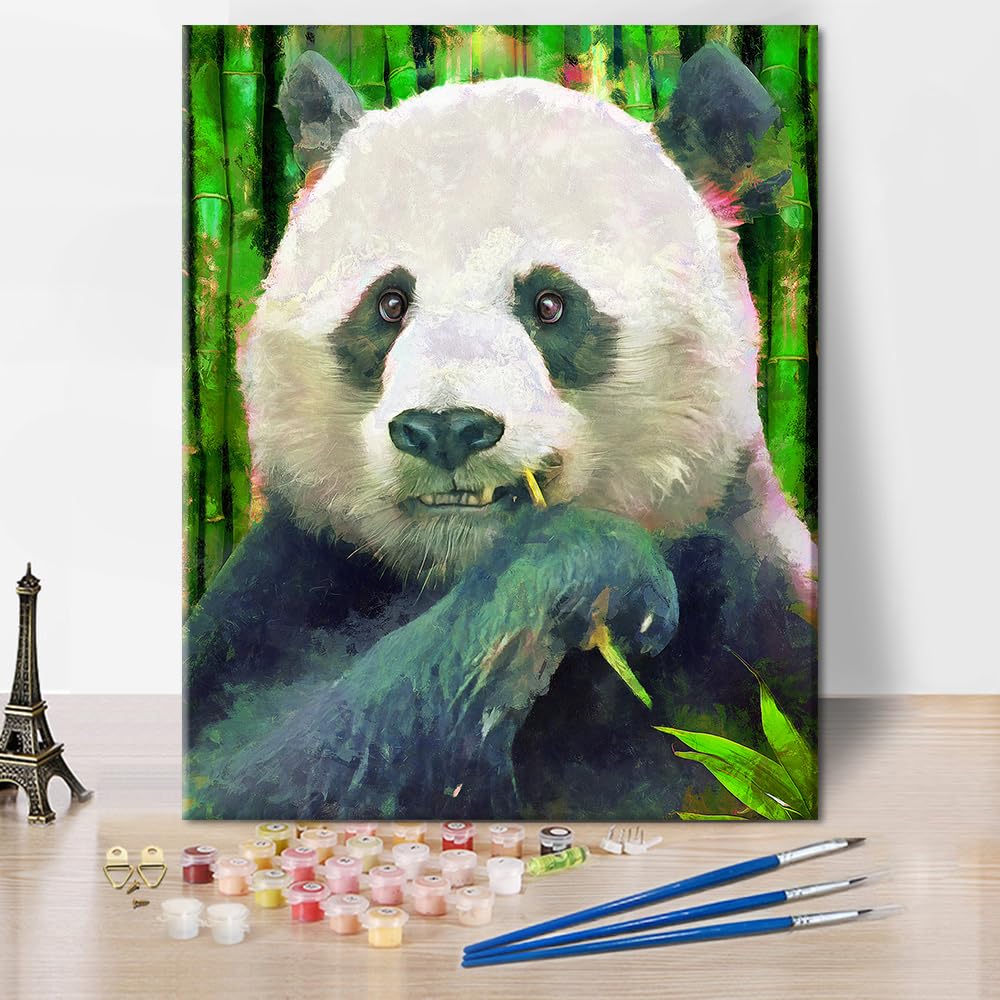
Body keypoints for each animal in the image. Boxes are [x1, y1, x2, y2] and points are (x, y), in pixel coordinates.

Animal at [184, 43, 817, 820]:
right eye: (388, 304)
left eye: (550, 304)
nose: (446, 429)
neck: (456, 565)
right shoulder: (294, 582)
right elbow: (240, 773)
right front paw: (591, 571)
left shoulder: (753, 606)